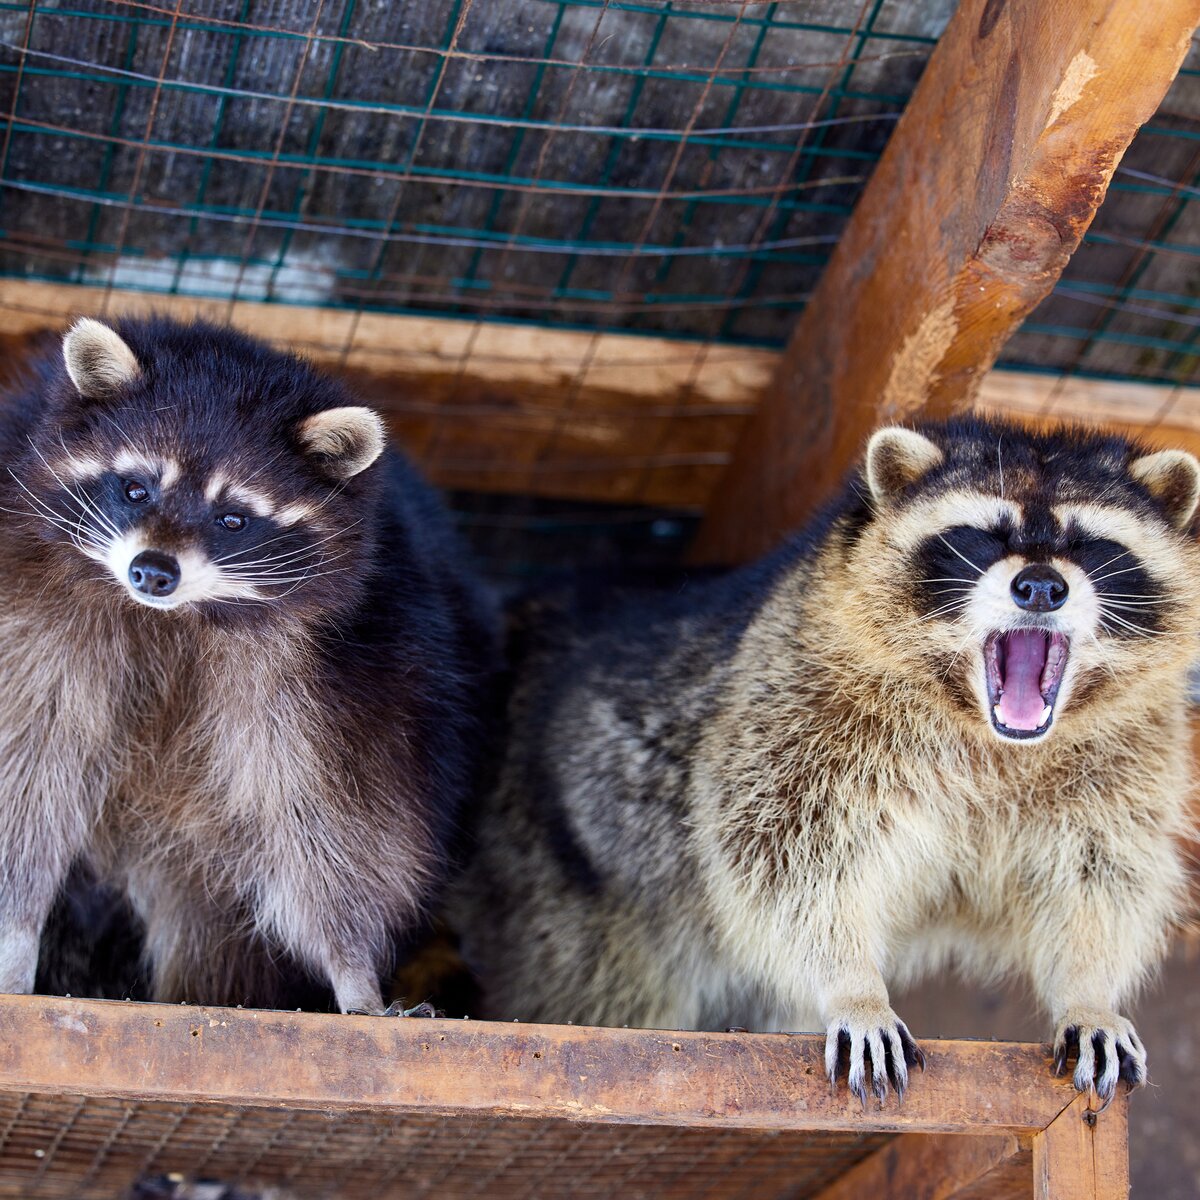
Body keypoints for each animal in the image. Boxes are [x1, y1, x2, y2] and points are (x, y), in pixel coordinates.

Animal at [0, 316, 496, 1012]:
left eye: (232, 518)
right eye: (136, 488)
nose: (152, 571)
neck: (177, 620)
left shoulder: (345, 677)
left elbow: (333, 822)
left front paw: (354, 973)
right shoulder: (34, 622)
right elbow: (28, 774)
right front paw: (16, 936)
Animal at [451, 415, 1200, 1104]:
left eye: (1092, 544)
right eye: (983, 535)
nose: (1041, 586)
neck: (989, 733)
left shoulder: (1131, 755)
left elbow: (1101, 876)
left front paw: (1089, 992)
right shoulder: (795, 703)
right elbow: (791, 858)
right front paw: (854, 987)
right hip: (557, 881)